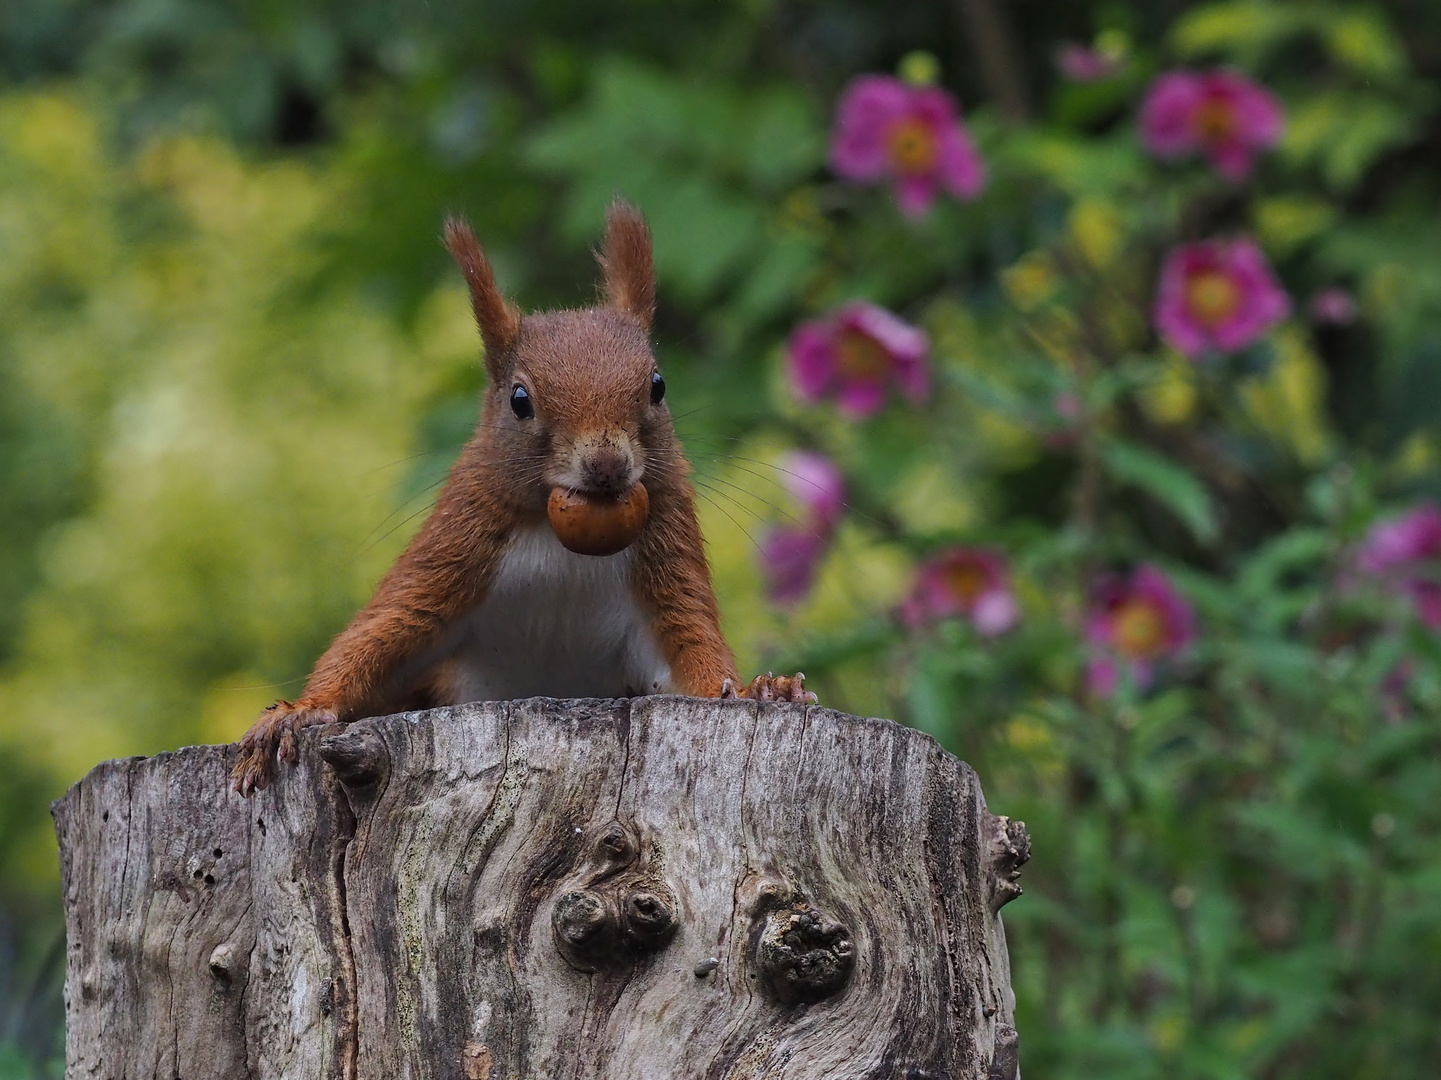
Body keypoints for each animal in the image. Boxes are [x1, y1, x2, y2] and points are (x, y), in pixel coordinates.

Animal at [230, 200, 806, 790]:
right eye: (519, 400)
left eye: (658, 386)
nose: (606, 465)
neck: (560, 538)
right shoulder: (459, 543)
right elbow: (383, 629)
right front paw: (299, 712)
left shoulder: (665, 550)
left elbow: (690, 646)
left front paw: (764, 689)